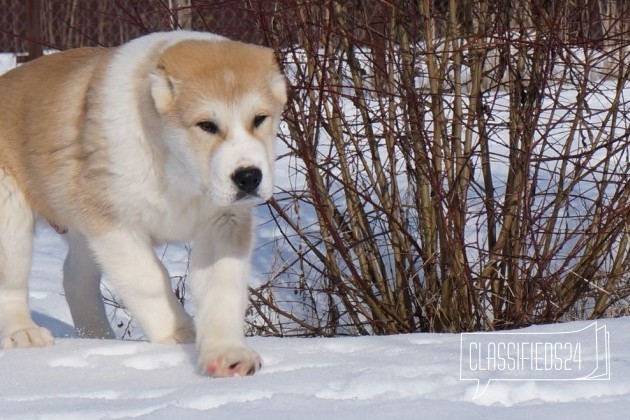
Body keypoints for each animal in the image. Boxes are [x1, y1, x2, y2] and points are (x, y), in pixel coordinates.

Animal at [0, 30, 286, 378]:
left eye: (259, 119)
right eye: (206, 125)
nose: (248, 177)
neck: (179, 170)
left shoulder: (225, 222)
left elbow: (221, 287)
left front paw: (228, 353)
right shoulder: (112, 223)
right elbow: (149, 280)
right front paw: (179, 334)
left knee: (74, 277)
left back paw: (99, 340)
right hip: (10, 217)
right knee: (11, 281)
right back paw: (22, 333)